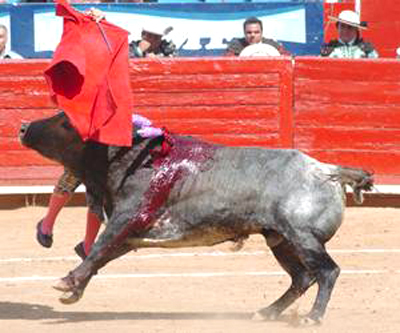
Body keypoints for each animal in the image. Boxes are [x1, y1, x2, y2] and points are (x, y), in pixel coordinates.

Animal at [20, 111, 374, 322]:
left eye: (66, 122)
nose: (23, 127)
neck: (133, 156)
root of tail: (327, 170)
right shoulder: (132, 232)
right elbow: (99, 256)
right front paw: (74, 291)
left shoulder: (128, 217)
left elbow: (97, 249)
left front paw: (67, 282)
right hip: (281, 240)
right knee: (302, 277)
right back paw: (266, 312)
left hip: (302, 236)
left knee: (327, 271)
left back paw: (312, 317)